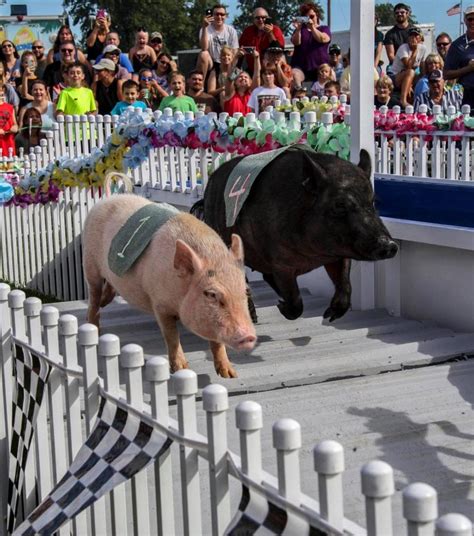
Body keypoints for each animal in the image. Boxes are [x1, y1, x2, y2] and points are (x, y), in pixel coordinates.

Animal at [83, 194, 258, 376]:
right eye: (211, 294)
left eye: (246, 292)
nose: (249, 336)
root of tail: (107, 199)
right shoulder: (159, 304)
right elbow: (171, 335)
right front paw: (182, 369)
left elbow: (217, 343)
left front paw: (230, 374)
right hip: (89, 261)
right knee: (94, 295)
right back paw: (94, 326)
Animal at [191, 147, 398, 320]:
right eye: (339, 204)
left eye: (372, 201)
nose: (389, 245)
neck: (312, 257)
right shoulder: (280, 262)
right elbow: (295, 300)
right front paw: (281, 306)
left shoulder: (338, 255)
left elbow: (345, 283)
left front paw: (329, 316)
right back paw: (254, 316)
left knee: (265, 276)